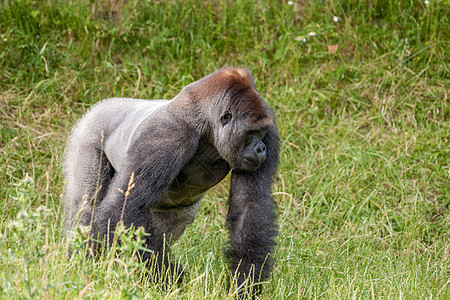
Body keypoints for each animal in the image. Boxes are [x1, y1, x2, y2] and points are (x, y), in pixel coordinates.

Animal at [63, 67, 280, 296]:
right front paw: (169, 278)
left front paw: (244, 282)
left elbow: (250, 206)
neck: (205, 121)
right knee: (86, 207)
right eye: (251, 132)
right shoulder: (168, 136)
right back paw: (81, 264)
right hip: (88, 132)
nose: (261, 148)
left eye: (262, 132)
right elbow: (123, 207)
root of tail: (102, 104)